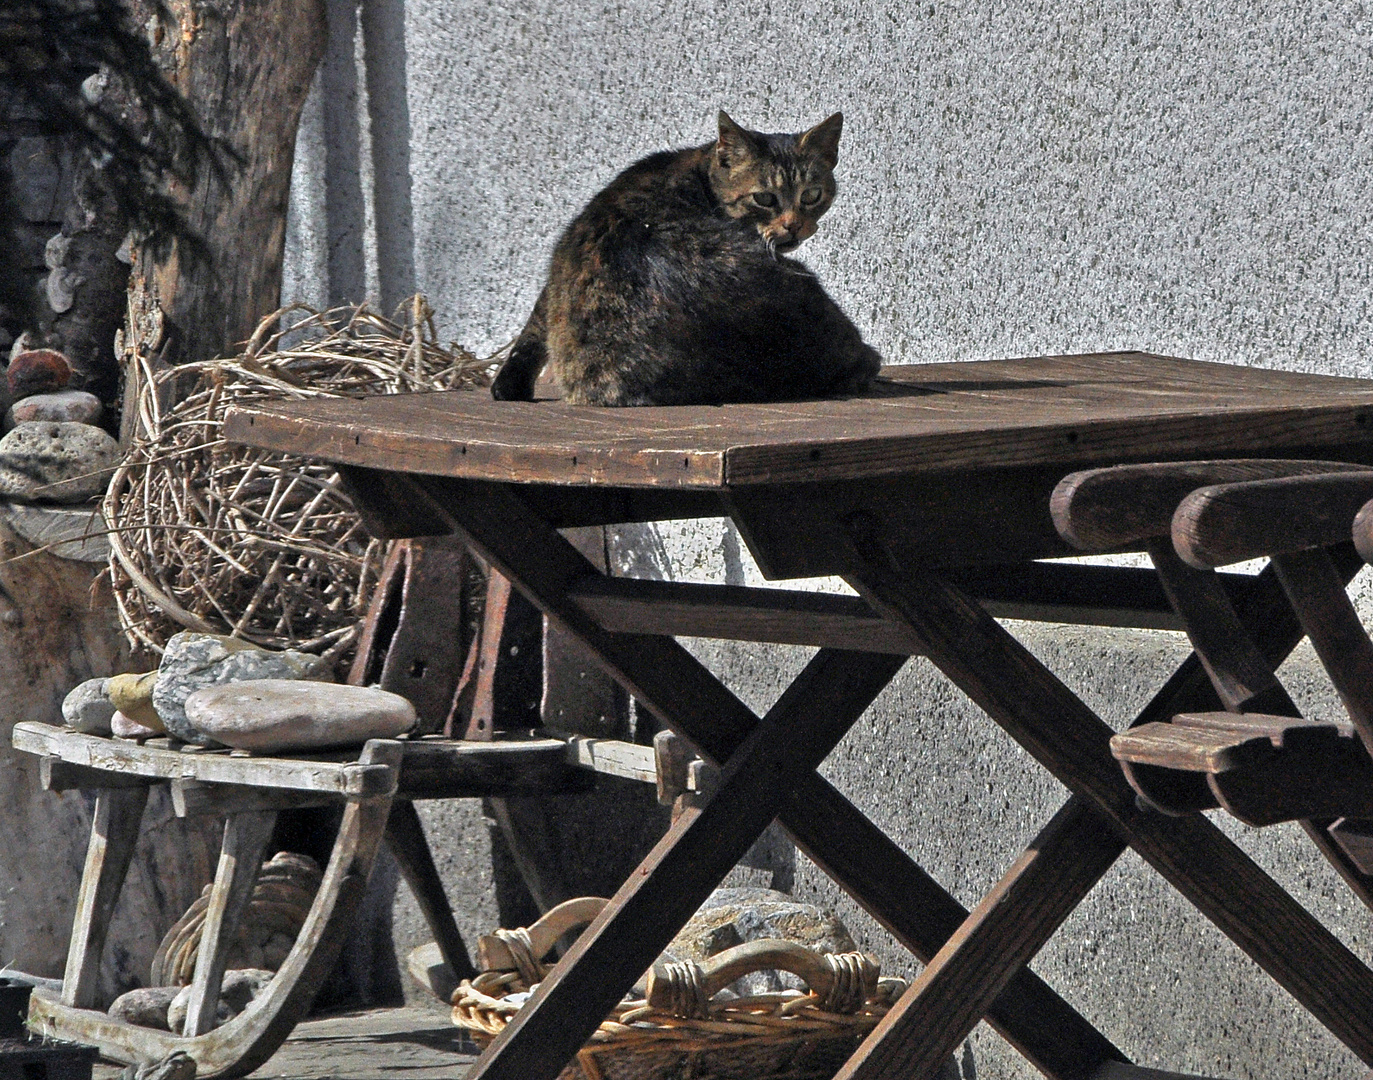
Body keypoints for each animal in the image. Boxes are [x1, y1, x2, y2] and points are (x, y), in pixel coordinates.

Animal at [491, 111, 878, 406]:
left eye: (811, 195)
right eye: (764, 198)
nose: (794, 226)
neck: (703, 173)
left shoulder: (555, 271)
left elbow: (532, 329)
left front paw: (507, 384)